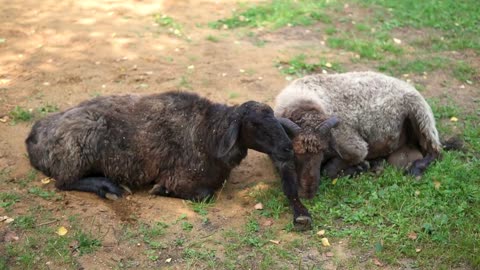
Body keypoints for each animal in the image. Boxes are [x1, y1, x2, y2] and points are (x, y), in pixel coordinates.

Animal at [26, 92, 312, 229]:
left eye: (274, 118)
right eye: (254, 125)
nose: (288, 149)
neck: (208, 131)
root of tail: (35, 136)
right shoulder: (182, 177)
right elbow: (204, 194)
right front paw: (161, 190)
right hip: (77, 151)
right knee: (64, 182)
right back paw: (108, 188)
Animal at [274, 71, 442, 198]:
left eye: (321, 154)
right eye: (295, 154)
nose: (308, 193)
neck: (305, 102)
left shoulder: (355, 148)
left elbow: (328, 170)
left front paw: (361, 167)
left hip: (421, 115)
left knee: (436, 152)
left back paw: (415, 169)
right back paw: (378, 164)